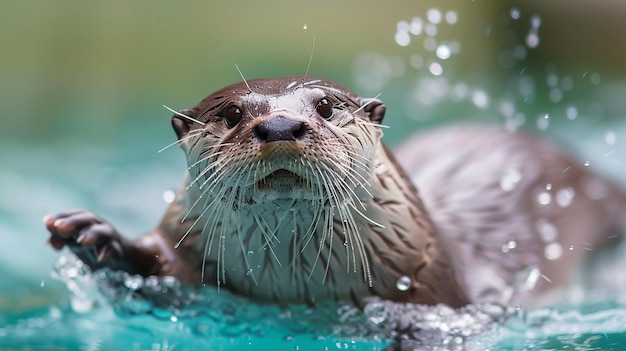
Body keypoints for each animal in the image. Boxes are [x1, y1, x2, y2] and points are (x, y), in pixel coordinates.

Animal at [44, 77, 624, 308]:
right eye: (231, 115)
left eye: (324, 106)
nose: (280, 125)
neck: (295, 282)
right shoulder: (190, 251)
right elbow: (160, 262)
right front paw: (95, 235)